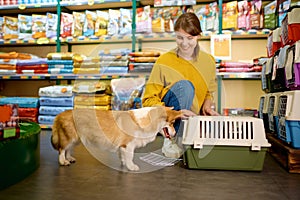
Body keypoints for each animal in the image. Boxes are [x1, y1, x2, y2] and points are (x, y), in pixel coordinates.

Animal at [51, 107, 183, 171]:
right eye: (172, 123)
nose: (175, 132)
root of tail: (59, 115)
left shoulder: (122, 146)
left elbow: (122, 155)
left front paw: (124, 163)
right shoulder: (128, 145)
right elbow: (130, 156)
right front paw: (131, 167)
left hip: (76, 139)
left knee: (68, 149)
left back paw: (69, 158)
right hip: (70, 137)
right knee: (62, 149)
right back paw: (63, 161)